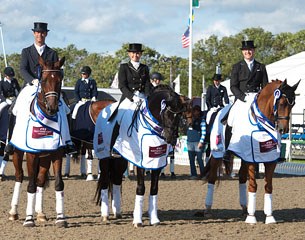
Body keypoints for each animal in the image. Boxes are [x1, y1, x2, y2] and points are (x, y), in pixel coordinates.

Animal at [8, 56, 67, 227]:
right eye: (44, 79)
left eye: (60, 80)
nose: (52, 108)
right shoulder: (31, 154)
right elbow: (31, 185)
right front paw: (29, 219)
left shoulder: (56, 153)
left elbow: (58, 183)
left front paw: (61, 217)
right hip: (17, 153)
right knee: (20, 176)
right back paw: (14, 212)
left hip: (45, 156)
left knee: (40, 179)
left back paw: (40, 213)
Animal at [93, 85, 190, 228]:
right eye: (167, 113)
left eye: (179, 116)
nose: (172, 139)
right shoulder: (141, 162)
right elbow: (141, 188)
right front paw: (137, 220)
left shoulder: (156, 163)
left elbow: (154, 189)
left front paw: (154, 219)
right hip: (105, 158)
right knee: (105, 181)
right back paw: (105, 215)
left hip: (120, 161)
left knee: (116, 180)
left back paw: (117, 212)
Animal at [201, 79, 298, 224]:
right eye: (281, 103)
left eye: (293, 104)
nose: (283, 129)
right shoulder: (252, 158)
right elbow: (253, 185)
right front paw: (252, 218)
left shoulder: (269, 159)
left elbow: (268, 186)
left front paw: (269, 217)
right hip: (217, 153)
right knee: (212, 178)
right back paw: (207, 209)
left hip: (243, 157)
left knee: (241, 178)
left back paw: (244, 209)